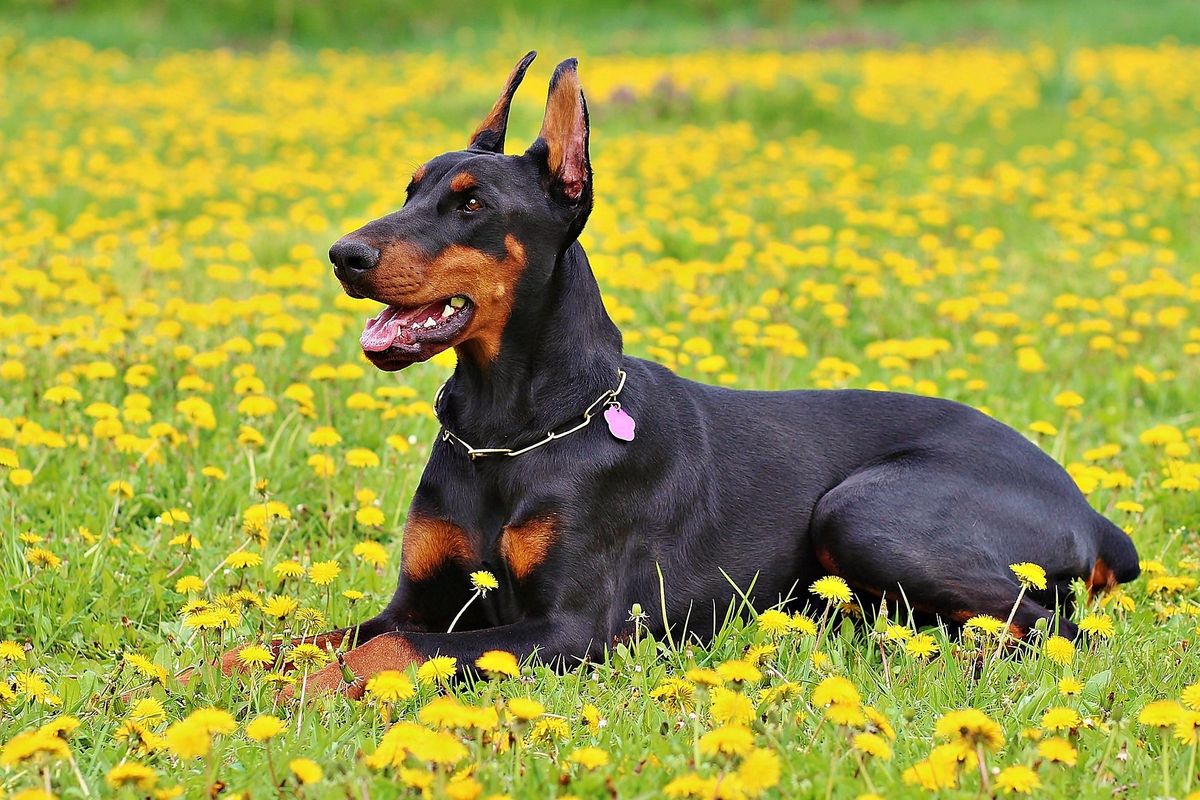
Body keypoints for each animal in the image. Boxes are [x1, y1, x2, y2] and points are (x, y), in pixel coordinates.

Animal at [236, 53, 1142, 695]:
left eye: (470, 204)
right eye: (410, 189)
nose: (343, 255)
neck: (512, 429)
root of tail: (1091, 512)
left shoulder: (571, 630)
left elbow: (387, 650)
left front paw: (292, 696)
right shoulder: (422, 596)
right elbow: (293, 637)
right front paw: (228, 675)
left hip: (865, 511)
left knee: (1052, 627)